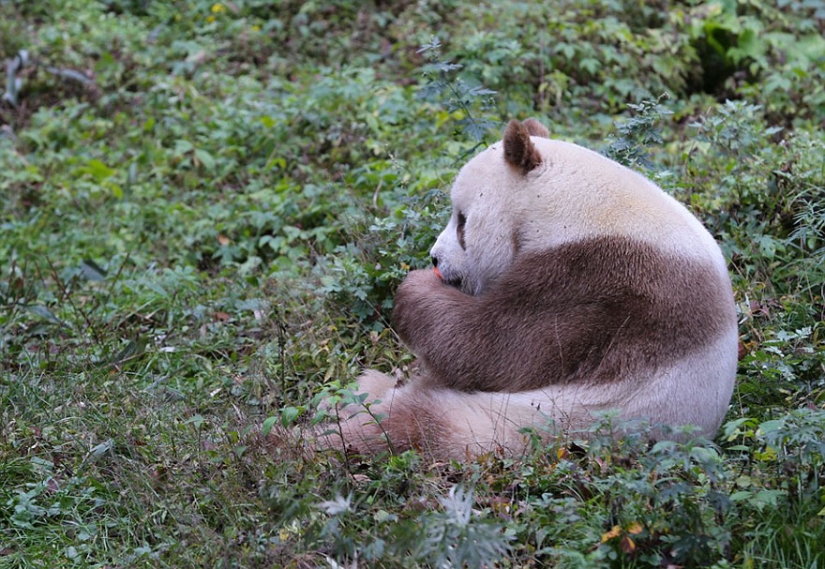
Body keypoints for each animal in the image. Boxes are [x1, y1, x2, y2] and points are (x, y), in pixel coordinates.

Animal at [326, 118, 738, 459]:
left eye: (462, 221)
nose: (435, 258)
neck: (574, 204)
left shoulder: (596, 277)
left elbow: (492, 350)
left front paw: (415, 287)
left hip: (540, 422)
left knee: (412, 427)